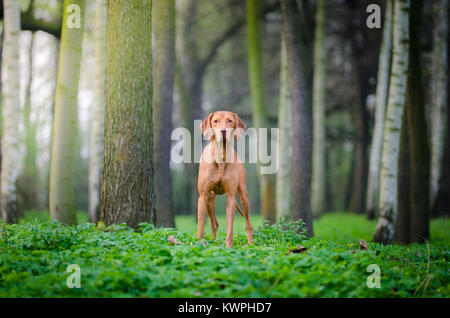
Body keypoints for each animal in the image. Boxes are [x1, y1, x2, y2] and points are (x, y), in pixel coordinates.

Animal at [197, 110, 253, 247]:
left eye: (230, 121)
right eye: (215, 121)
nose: (223, 131)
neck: (221, 157)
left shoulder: (231, 197)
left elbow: (230, 228)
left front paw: (229, 247)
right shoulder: (203, 197)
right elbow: (200, 227)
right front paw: (199, 243)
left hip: (243, 196)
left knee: (248, 224)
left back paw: (251, 245)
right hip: (209, 199)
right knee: (214, 223)